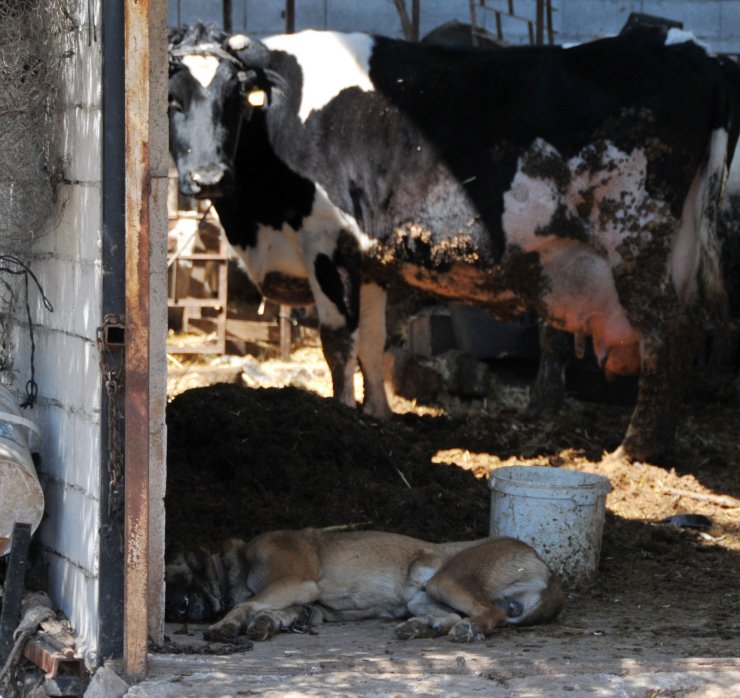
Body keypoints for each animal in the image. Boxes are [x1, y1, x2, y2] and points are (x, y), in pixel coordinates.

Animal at [169, 25, 740, 462]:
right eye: (171, 101)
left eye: (233, 101)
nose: (207, 176)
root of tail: (694, 51)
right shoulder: (368, 259)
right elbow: (373, 342)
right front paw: (378, 416)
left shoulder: (325, 244)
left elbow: (339, 344)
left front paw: (341, 416)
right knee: (686, 332)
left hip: (635, 237)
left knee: (668, 336)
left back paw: (633, 451)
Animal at [194, 528, 564, 640]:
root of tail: (549, 571)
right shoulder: (303, 605)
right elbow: (270, 612)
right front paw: (263, 623)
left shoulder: (296, 583)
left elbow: (247, 603)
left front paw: (225, 625)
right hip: (422, 597)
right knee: (449, 616)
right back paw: (421, 627)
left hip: (446, 580)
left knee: (490, 615)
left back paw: (465, 629)